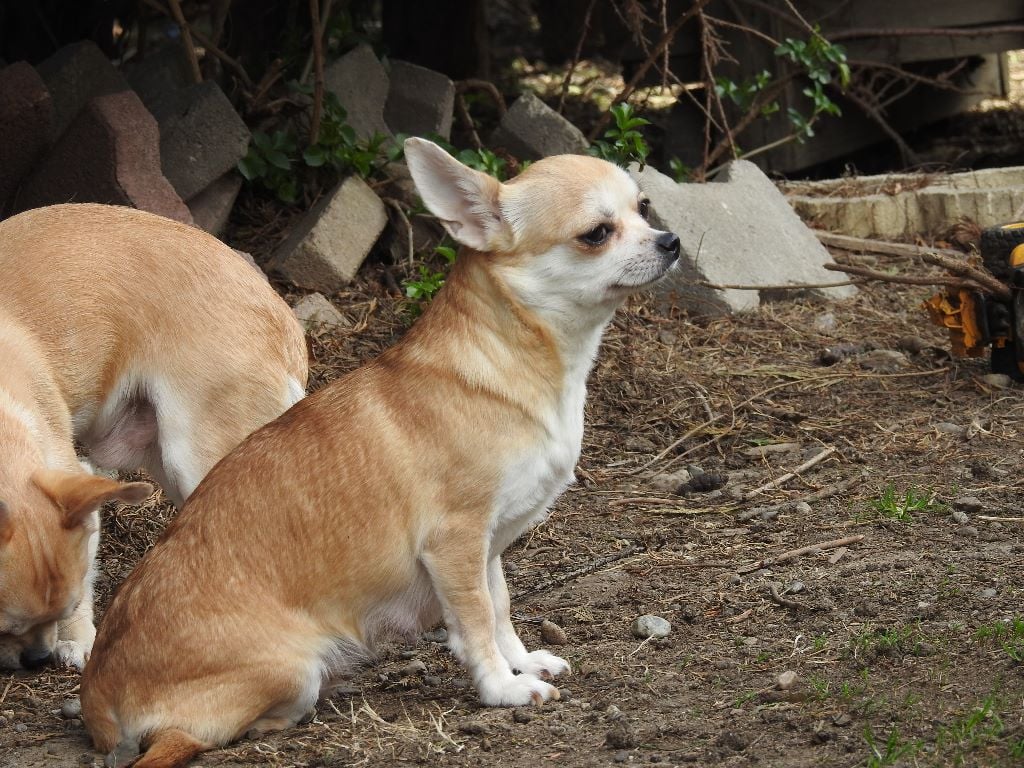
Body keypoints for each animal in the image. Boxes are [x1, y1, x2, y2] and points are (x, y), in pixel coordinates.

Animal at [0, 204, 308, 670]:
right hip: (166, 461)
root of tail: (282, 315)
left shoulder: (73, 479)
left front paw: (77, 640)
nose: (36, 658)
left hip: (193, 457)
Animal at [81, 138, 680, 767]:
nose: (670, 241)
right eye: (597, 233)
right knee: (198, 733)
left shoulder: (488, 545)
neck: (519, 365)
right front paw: (503, 688)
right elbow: (475, 622)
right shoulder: (456, 543)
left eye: (644, 206)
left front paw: (522, 661)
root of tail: (98, 703)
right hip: (289, 670)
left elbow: (499, 606)